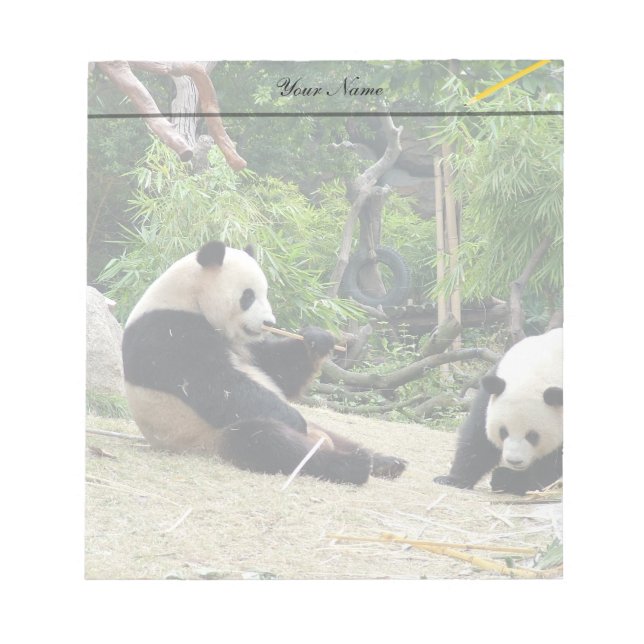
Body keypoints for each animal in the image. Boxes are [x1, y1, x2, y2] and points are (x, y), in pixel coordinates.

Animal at [122, 240, 407, 486]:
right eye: (248, 296)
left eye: (265, 293)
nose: (269, 322)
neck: (188, 296)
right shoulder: (167, 334)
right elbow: (219, 386)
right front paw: (293, 420)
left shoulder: (247, 345)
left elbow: (280, 372)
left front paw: (318, 340)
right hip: (208, 437)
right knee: (269, 441)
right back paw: (351, 465)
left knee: (336, 436)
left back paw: (386, 462)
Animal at [434, 328, 562, 495]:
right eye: (503, 432)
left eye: (533, 436)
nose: (514, 461)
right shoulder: (493, 386)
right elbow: (478, 436)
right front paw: (453, 479)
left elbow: (552, 468)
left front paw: (512, 480)